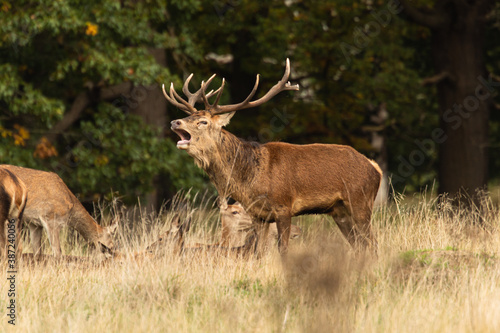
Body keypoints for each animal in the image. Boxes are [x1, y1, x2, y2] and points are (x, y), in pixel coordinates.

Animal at [164, 57, 382, 254]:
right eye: (189, 116)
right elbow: (259, 251)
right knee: (360, 245)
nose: (175, 122)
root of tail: (375, 168)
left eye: (203, 122)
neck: (250, 179)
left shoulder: (283, 206)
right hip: (339, 211)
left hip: (361, 201)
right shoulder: (258, 214)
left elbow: (283, 249)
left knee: (372, 243)